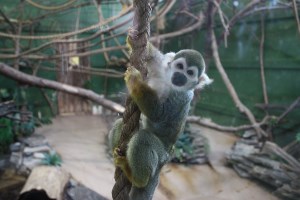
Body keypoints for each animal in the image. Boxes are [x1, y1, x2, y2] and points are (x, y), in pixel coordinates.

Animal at [109, 37, 212, 198]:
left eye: (189, 73)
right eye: (180, 66)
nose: (180, 76)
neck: (170, 83)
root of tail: (166, 160)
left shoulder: (182, 97)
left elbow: (158, 113)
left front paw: (135, 82)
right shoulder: (163, 69)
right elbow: (153, 58)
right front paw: (133, 39)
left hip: (160, 155)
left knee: (143, 137)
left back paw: (137, 179)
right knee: (122, 123)